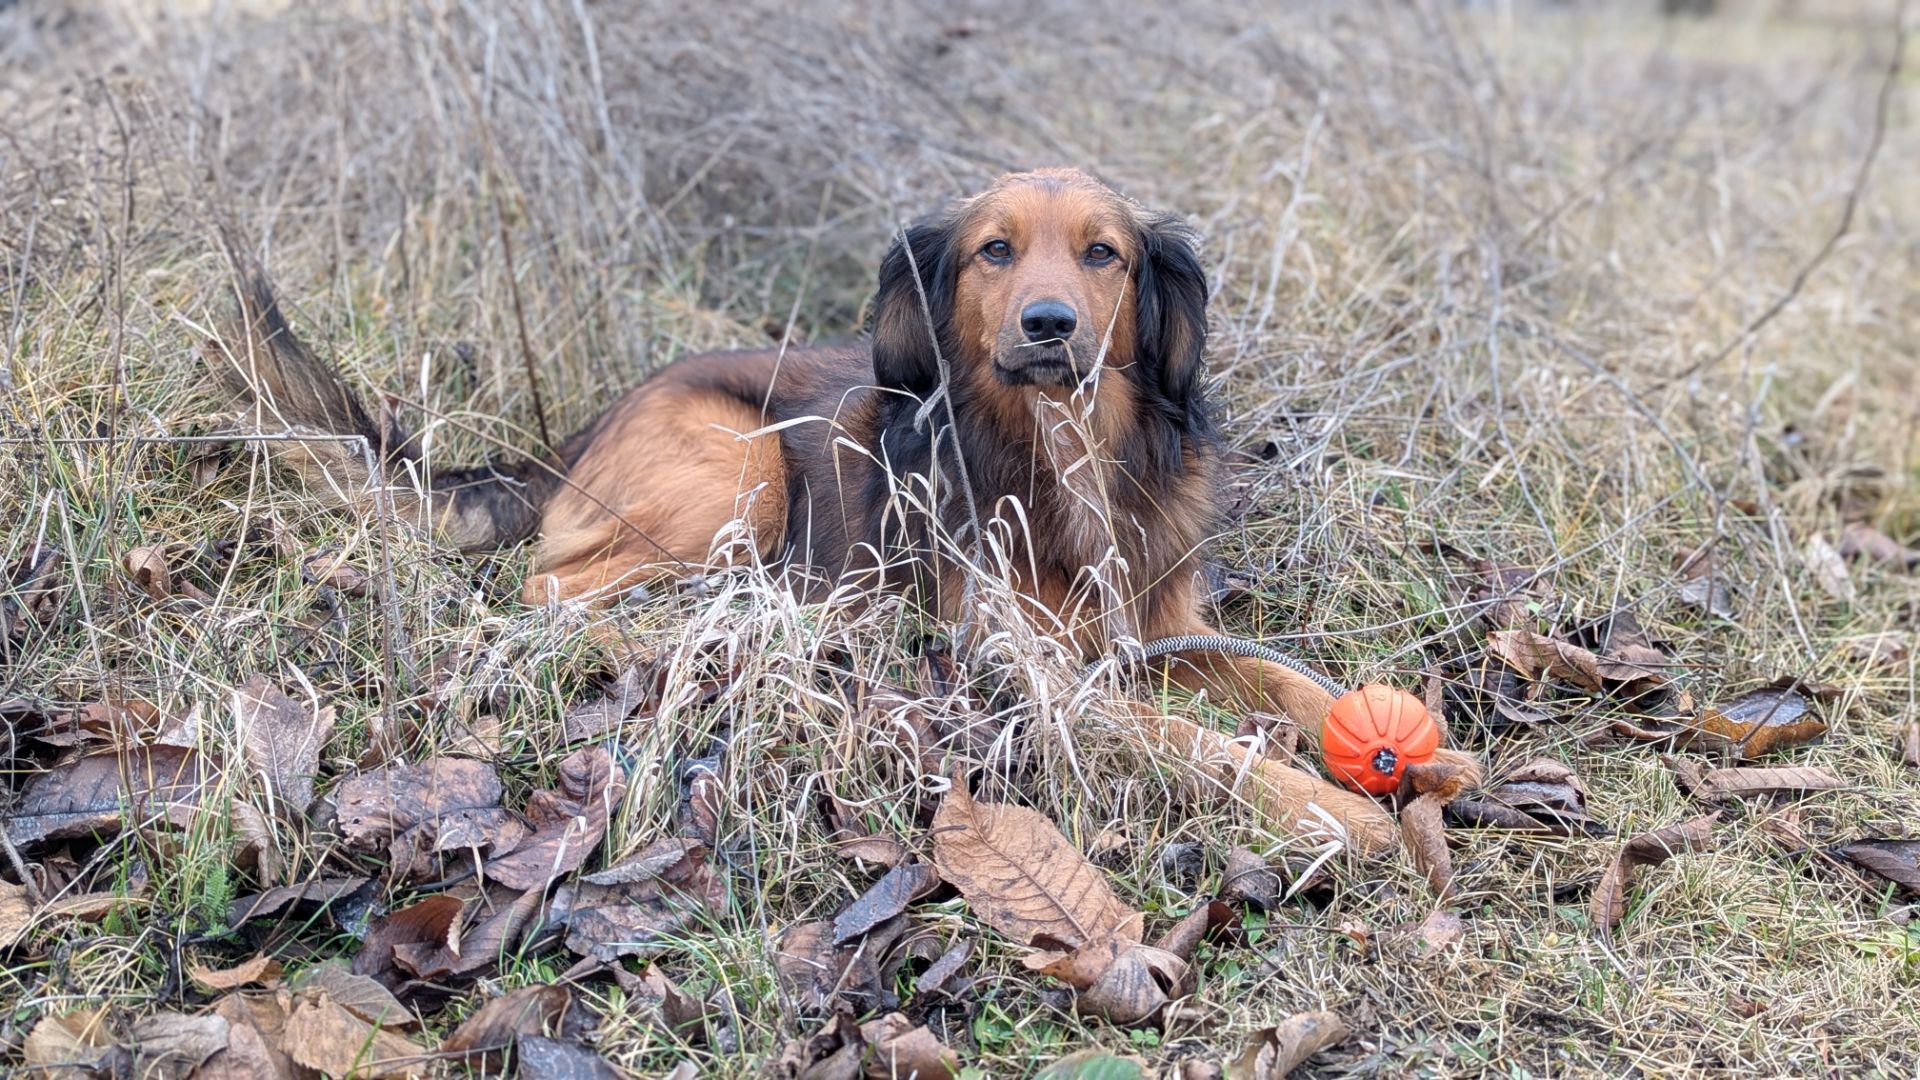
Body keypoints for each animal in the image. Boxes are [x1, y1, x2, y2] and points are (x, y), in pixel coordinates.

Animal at [214, 168, 1466, 849]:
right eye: (994, 251)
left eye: (1104, 255)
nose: (1050, 325)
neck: (1061, 452)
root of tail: (575, 431)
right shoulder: (1036, 679)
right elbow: (1203, 747)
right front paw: (1338, 816)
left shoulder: (1160, 630)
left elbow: (1290, 683)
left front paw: (1420, 758)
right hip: (744, 466)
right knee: (554, 588)